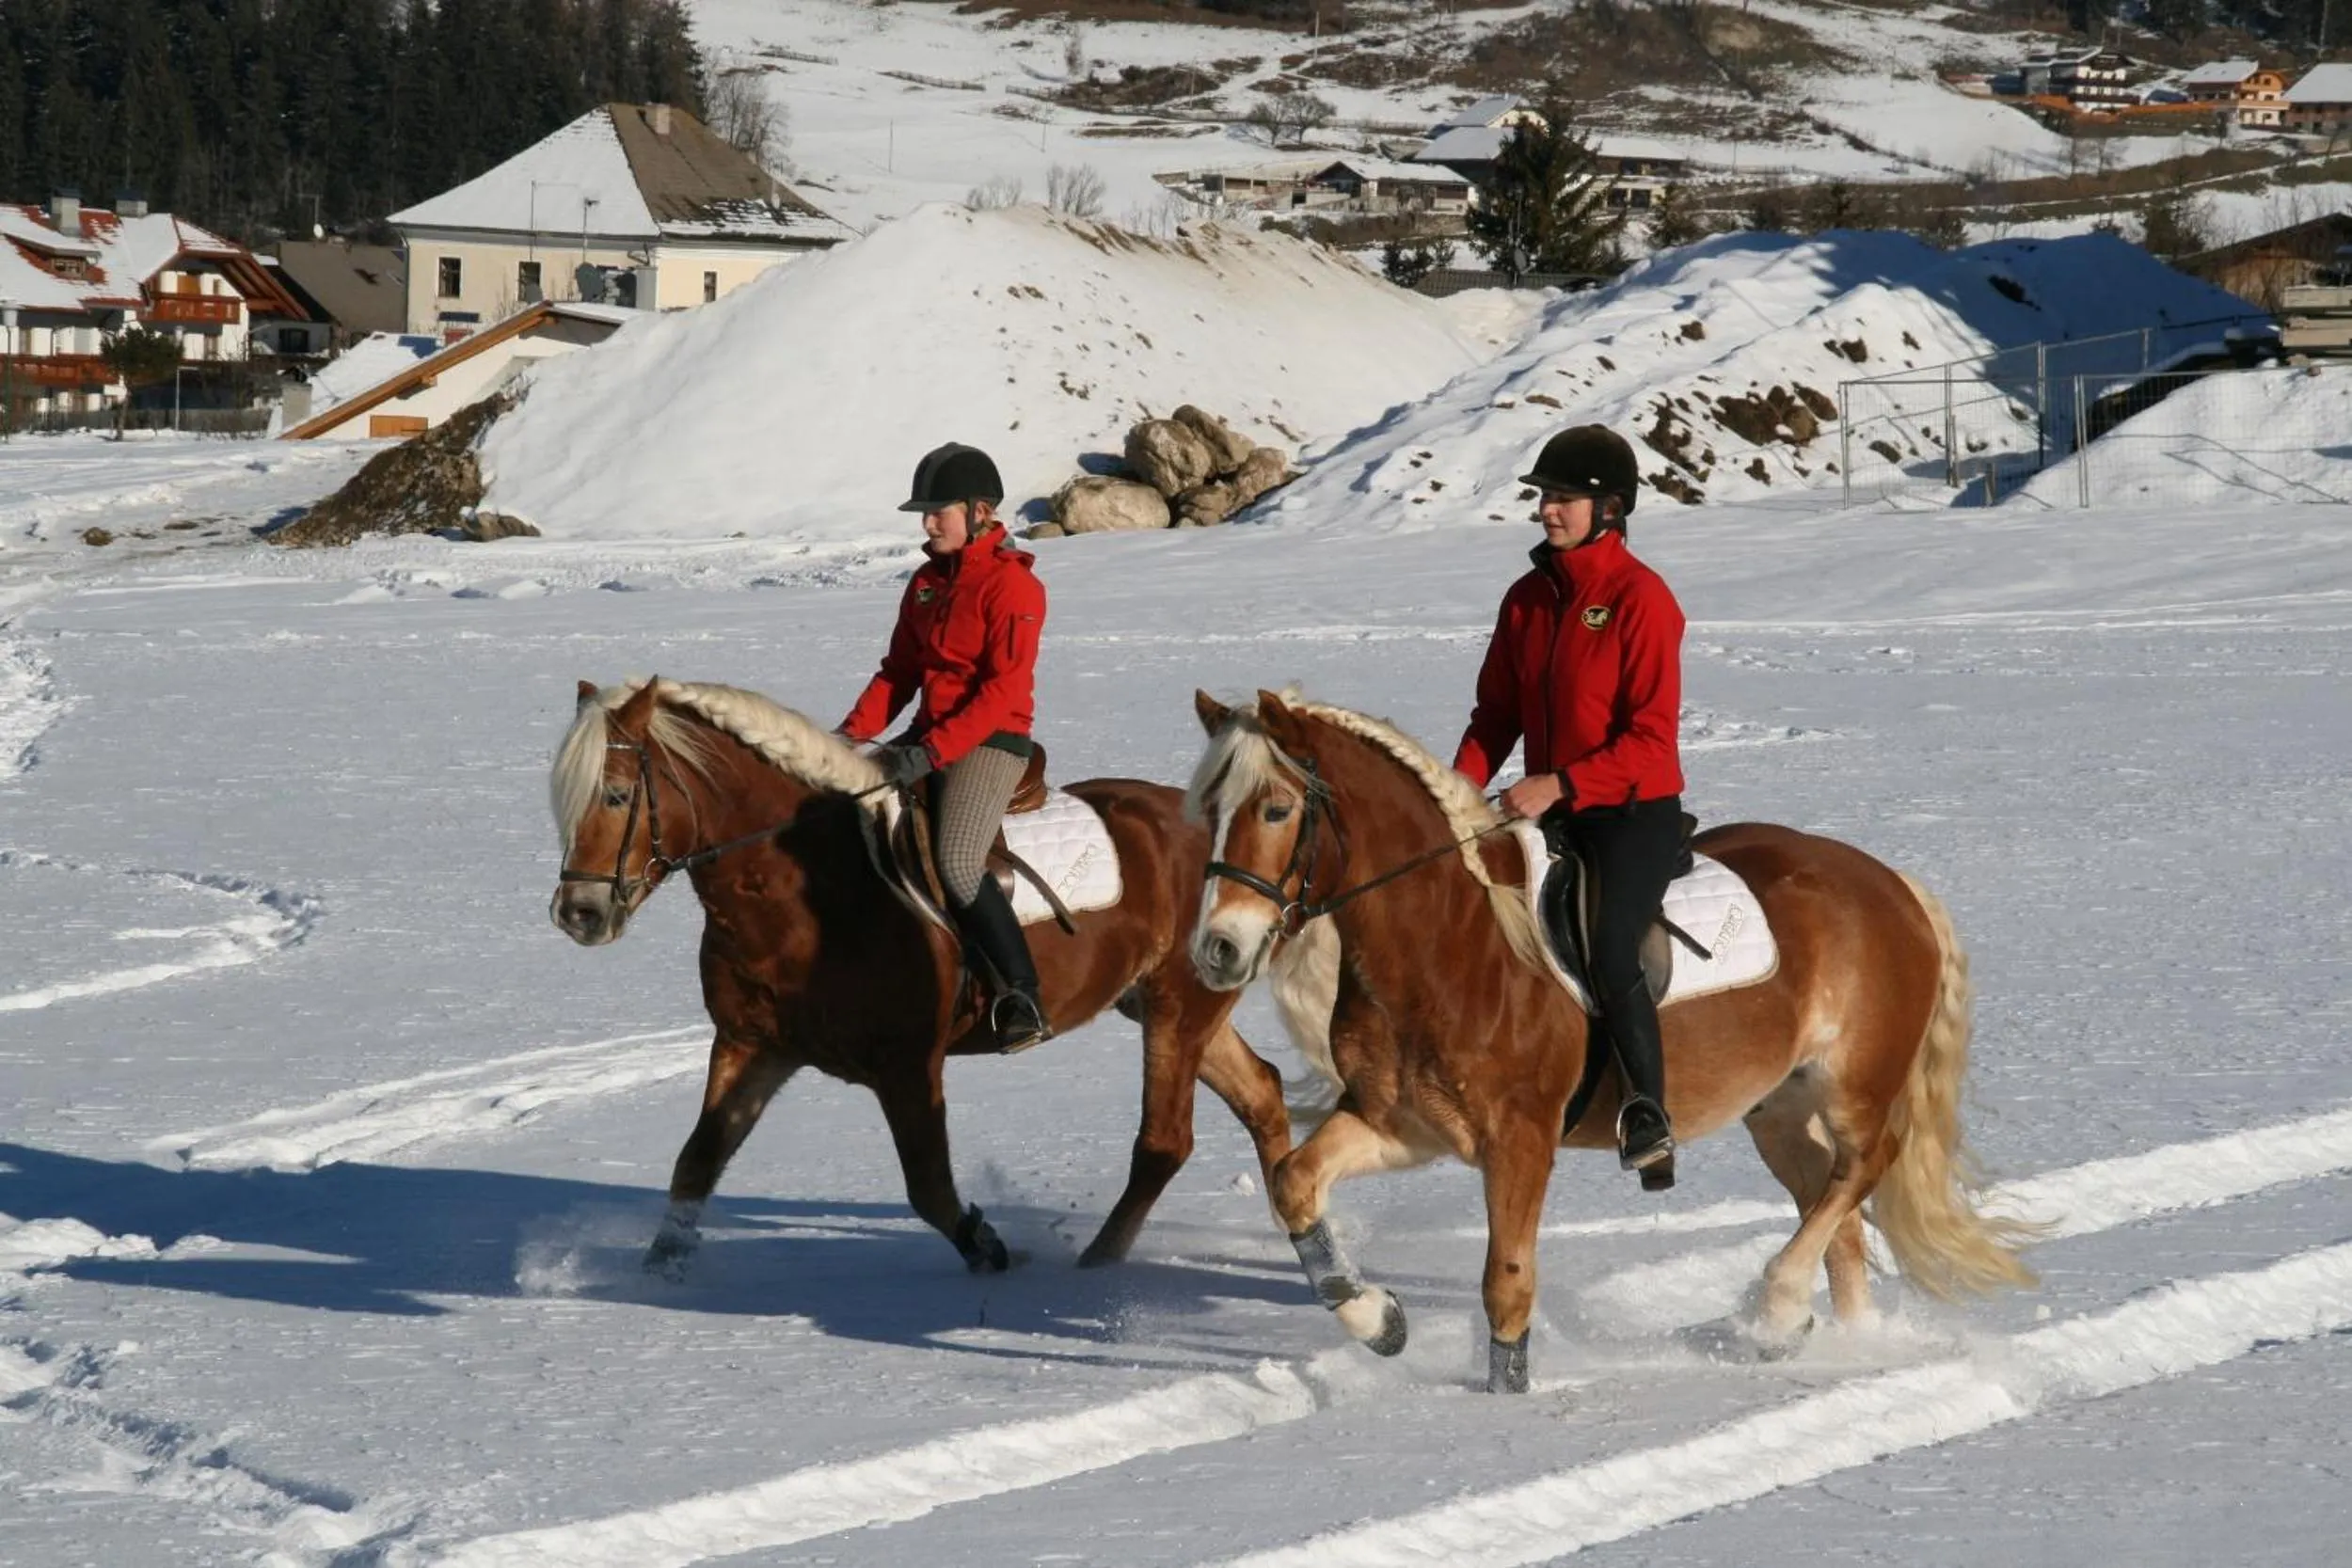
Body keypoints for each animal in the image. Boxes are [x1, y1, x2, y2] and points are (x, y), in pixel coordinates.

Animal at [545, 676, 1302, 1277]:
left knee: (1164, 1141)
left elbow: (930, 1189)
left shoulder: (907, 1067)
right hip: (1164, 1005)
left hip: (1178, 1007)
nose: (579, 913)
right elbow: (695, 1162)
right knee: (1262, 1093)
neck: (805, 891)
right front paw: (659, 1273)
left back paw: (1097, 1266)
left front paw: (991, 1249)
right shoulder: (751, 1046)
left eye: (615, 796)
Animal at [1182, 688, 2036, 1393]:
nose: (1218, 948)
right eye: (1209, 810)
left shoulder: (1521, 1141)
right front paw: (1377, 1320)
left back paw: (1780, 1304)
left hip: (1855, 1085)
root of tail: (1893, 885)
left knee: (1863, 1167)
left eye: (1275, 809)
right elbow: (1294, 1183)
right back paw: (1846, 1344)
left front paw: (1503, 1397)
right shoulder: (1402, 1125)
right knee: (1834, 1209)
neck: (1448, 940)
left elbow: (1507, 1283)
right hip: (1779, 1109)